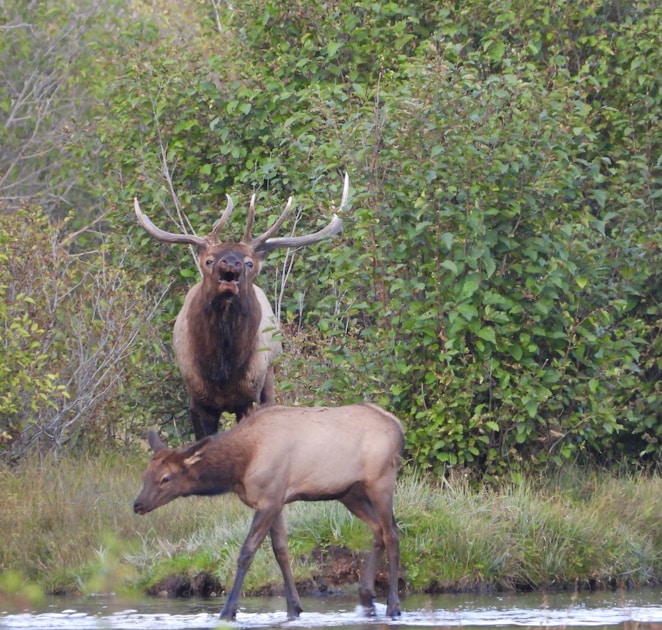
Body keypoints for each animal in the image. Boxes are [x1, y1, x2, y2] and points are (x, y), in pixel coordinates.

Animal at [133, 174, 349, 439]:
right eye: (209, 260)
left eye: (249, 263)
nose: (230, 263)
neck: (222, 371)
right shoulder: (197, 398)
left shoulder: (249, 397)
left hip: (270, 377)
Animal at [133, 403, 404, 620]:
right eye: (146, 475)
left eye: (166, 478)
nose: (137, 504)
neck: (240, 467)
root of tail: (398, 426)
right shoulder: (275, 500)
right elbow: (281, 550)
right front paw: (294, 608)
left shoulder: (269, 500)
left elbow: (247, 552)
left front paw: (228, 611)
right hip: (349, 492)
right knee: (378, 530)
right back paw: (367, 596)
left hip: (381, 481)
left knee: (392, 533)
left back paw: (393, 606)